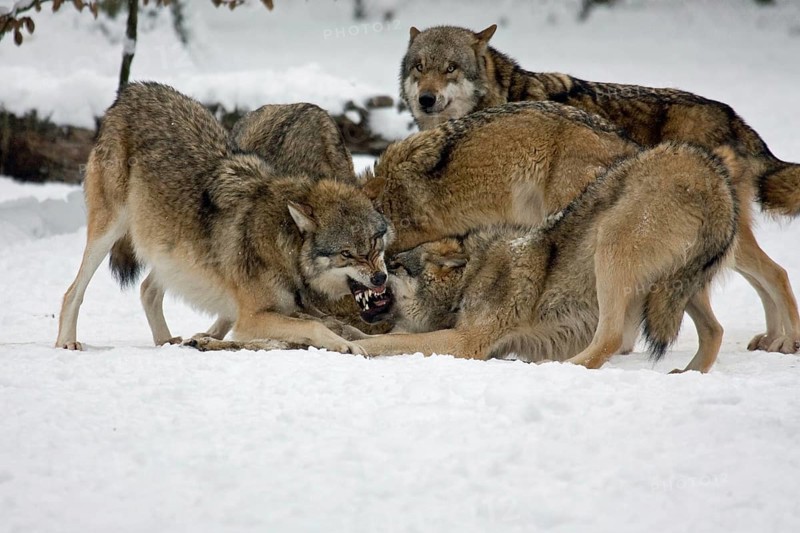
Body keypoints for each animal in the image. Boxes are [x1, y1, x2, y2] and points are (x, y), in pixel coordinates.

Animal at [55, 82, 392, 354]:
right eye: (347, 254)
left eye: (375, 244)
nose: (380, 278)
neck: (283, 243)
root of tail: (132, 91)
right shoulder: (252, 317)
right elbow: (316, 327)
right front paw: (347, 346)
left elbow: (335, 324)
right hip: (109, 230)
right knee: (73, 291)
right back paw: (67, 341)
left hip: (169, 248)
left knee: (147, 289)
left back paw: (168, 342)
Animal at [355, 143, 738, 373]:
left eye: (393, 265)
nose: (374, 277)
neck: (470, 278)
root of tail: (710, 172)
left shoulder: (465, 342)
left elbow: (392, 340)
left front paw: (354, 344)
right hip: (677, 287)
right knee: (715, 331)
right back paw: (688, 373)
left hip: (609, 249)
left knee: (611, 339)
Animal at [400, 24, 800, 354]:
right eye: (420, 66)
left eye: (451, 67)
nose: (426, 98)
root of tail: (734, 118)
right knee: (762, 276)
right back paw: (769, 338)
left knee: (777, 272)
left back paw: (787, 341)